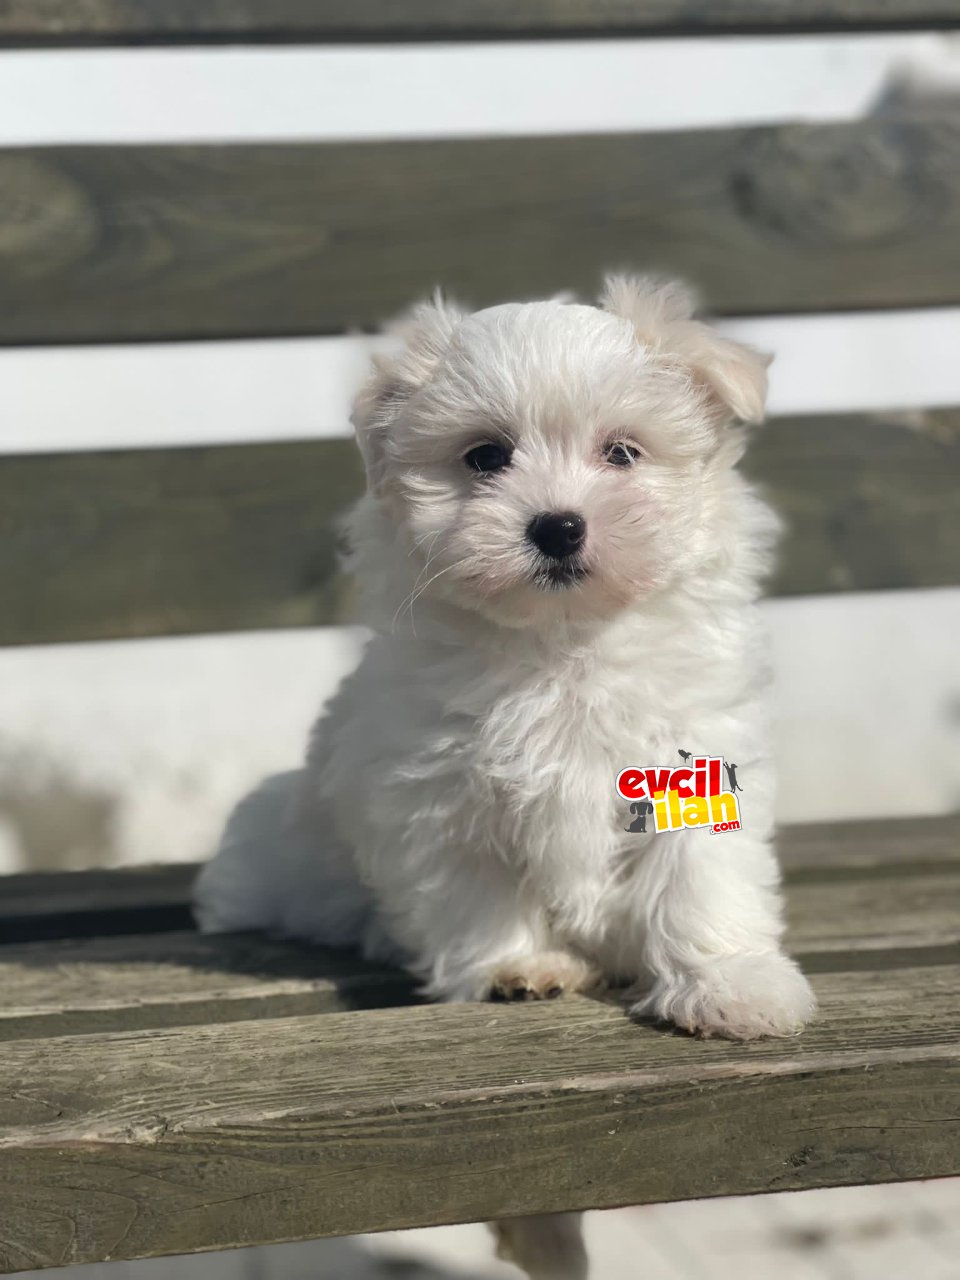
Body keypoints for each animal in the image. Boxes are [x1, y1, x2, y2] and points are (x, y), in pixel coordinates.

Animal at [194, 276, 816, 1279]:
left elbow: (701, 879)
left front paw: (732, 987)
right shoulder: (436, 791)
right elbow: (477, 889)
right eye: (485, 456)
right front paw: (517, 969)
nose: (557, 524)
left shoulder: (694, 760)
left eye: (622, 452)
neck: (560, 646)